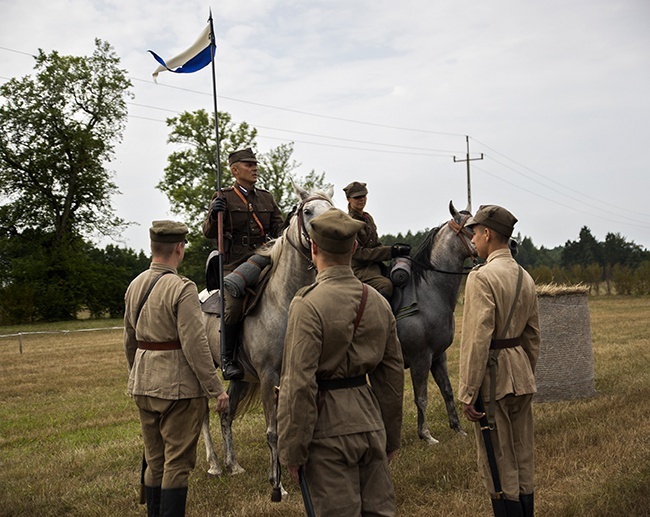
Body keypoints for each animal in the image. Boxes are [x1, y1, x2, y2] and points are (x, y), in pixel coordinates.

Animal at [197, 182, 332, 500]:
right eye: (308, 211)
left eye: (334, 209)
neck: (283, 300)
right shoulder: (269, 376)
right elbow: (273, 432)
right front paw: (278, 486)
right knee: (204, 418)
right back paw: (214, 465)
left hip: (239, 378)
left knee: (226, 415)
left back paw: (233, 465)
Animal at [390, 202, 476, 444]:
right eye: (472, 226)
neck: (429, 292)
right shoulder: (421, 358)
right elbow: (421, 397)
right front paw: (426, 435)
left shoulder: (439, 356)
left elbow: (447, 390)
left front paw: (458, 428)